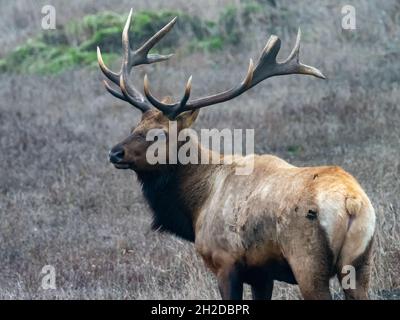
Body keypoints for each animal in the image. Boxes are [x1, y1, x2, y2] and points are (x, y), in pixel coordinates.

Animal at [97, 10, 376, 300]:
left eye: (160, 134)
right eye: (135, 127)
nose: (115, 153)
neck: (196, 205)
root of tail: (352, 203)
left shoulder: (225, 262)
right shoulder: (261, 273)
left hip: (308, 262)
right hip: (359, 262)